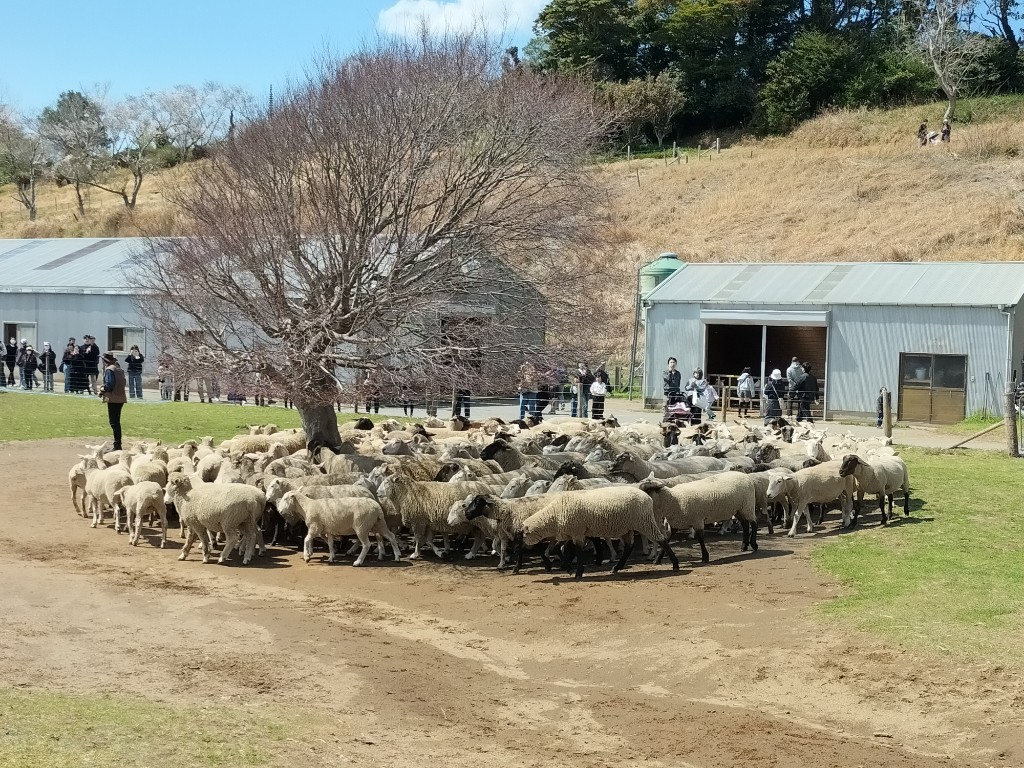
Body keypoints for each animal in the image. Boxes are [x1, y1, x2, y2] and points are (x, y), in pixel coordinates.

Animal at [519, 487, 679, 580]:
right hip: (626, 527)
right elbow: (558, 549)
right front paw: (569, 569)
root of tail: (647, 497)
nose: (523, 546)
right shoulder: (572, 532)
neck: (553, 515)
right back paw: (617, 567)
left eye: (524, 535)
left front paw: (578, 573)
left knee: (662, 540)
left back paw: (675, 565)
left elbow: (578, 551)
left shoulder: (577, 532)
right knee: (629, 546)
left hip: (644, 521)